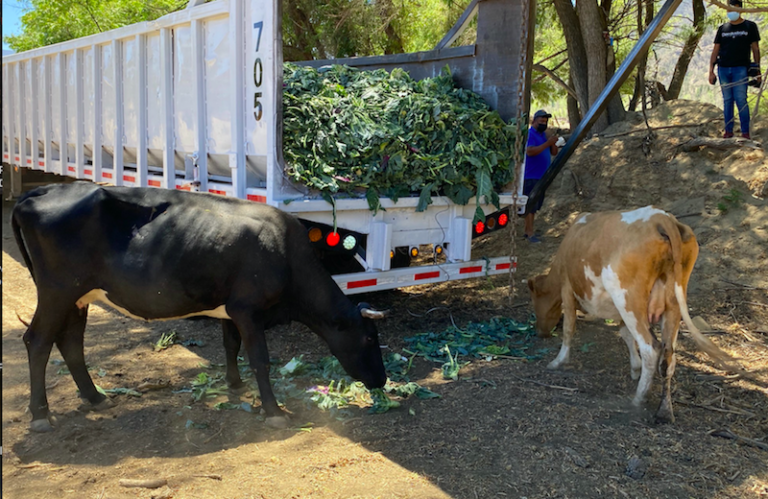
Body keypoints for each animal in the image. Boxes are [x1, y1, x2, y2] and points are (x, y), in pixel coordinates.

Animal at [16, 184, 390, 434]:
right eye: (370, 339)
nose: (382, 380)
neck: (284, 251)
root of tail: (40, 191)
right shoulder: (248, 309)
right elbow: (260, 359)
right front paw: (273, 411)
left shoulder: (231, 308)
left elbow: (230, 344)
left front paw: (234, 384)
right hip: (57, 291)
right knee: (38, 341)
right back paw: (40, 415)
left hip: (77, 297)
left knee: (70, 342)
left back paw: (95, 398)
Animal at [528, 206, 732, 422]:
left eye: (535, 303)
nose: (540, 332)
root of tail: (661, 218)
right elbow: (625, 334)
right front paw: (635, 368)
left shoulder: (567, 288)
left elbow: (569, 327)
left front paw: (558, 361)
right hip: (673, 302)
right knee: (669, 356)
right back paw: (664, 410)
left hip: (627, 297)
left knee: (651, 348)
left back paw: (638, 399)